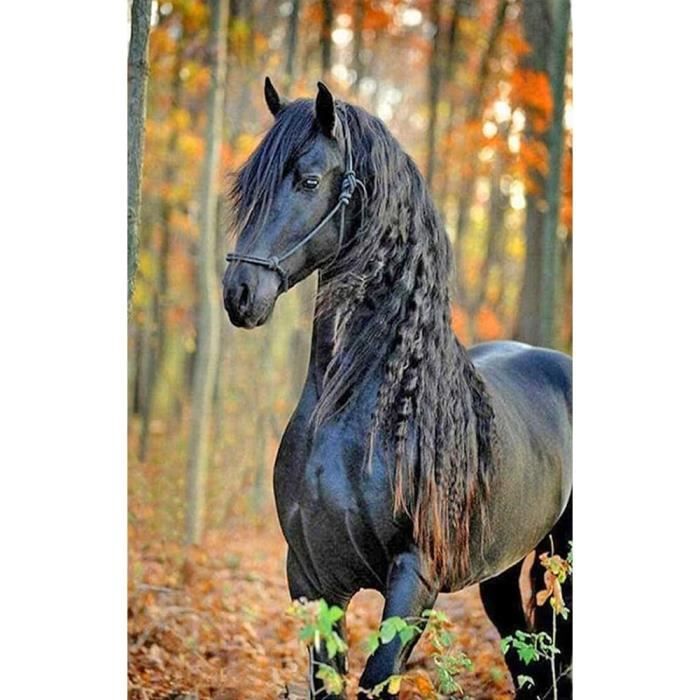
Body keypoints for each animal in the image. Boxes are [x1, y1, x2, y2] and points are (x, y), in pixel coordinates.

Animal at [222, 78, 572, 700]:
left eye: (309, 180)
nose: (239, 292)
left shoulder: (413, 578)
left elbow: (377, 676)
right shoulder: (311, 579)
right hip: (502, 571)